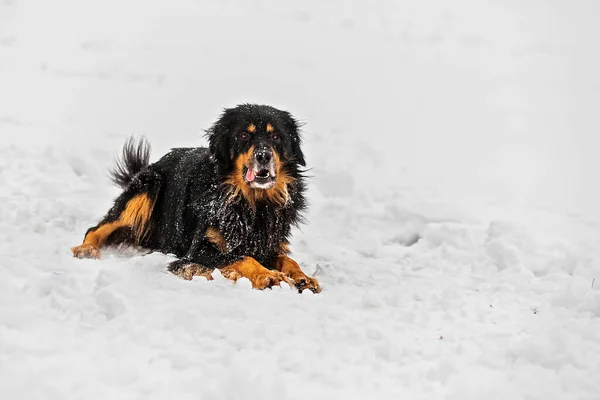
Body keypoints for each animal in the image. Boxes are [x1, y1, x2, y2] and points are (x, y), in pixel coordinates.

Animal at [72, 104, 322, 294]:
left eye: (275, 136)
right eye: (243, 135)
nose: (264, 155)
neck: (252, 203)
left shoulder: (269, 245)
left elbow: (287, 260)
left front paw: (303, 277)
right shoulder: (199, 250)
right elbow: (241, 258)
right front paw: (268, 276)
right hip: (148, 185)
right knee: (96, 228)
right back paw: (86, 249)